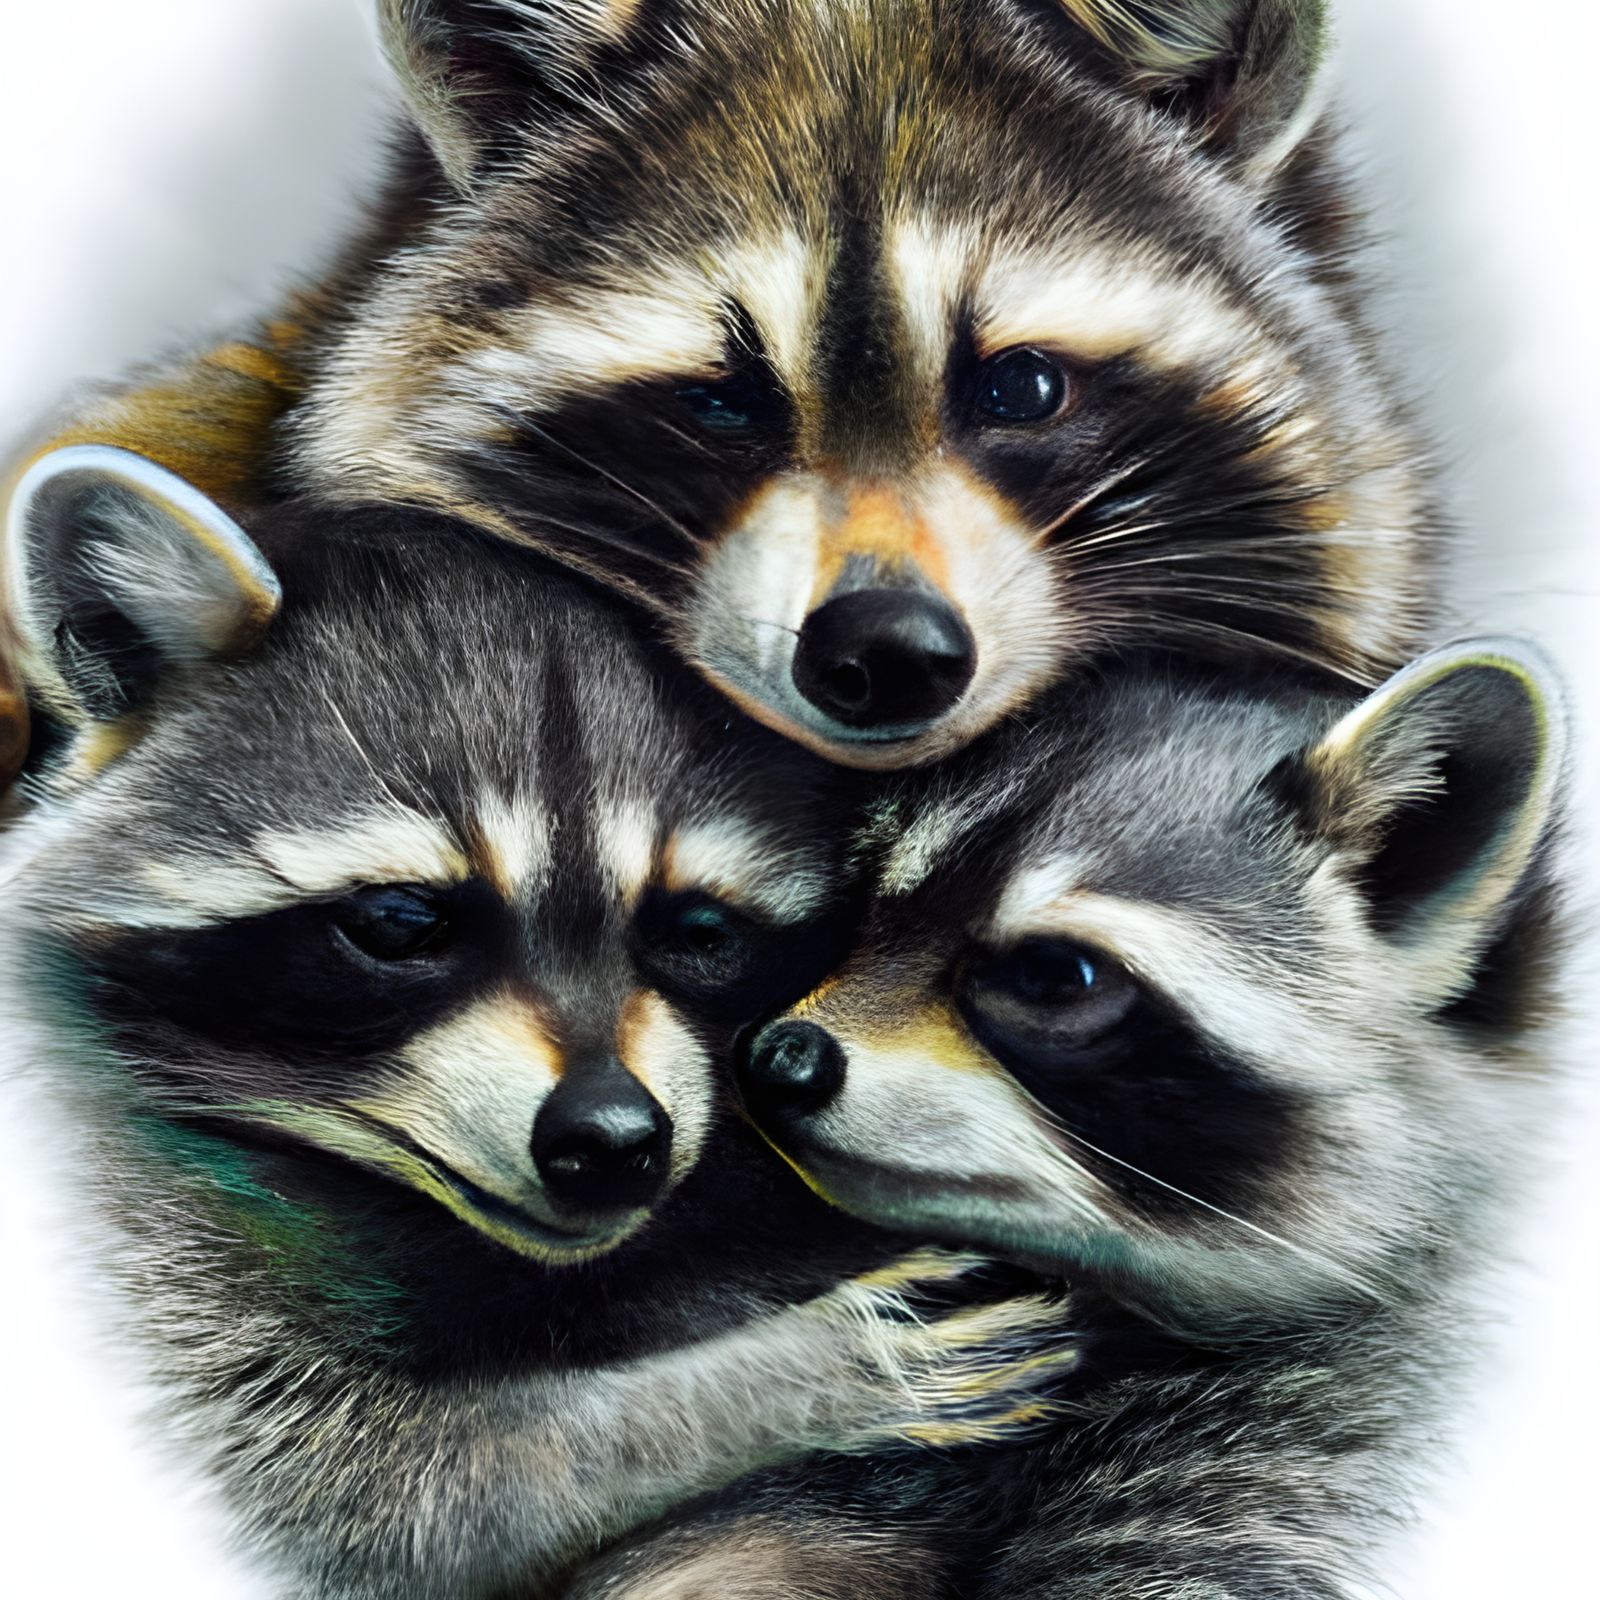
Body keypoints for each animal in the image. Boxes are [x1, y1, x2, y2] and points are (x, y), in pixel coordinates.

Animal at [0, 447, 1076, 1599]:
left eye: (699, 928)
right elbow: (349, 1493)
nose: (611, 1139)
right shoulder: (112, 1198)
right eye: (401, 920)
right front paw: (779, 1381)